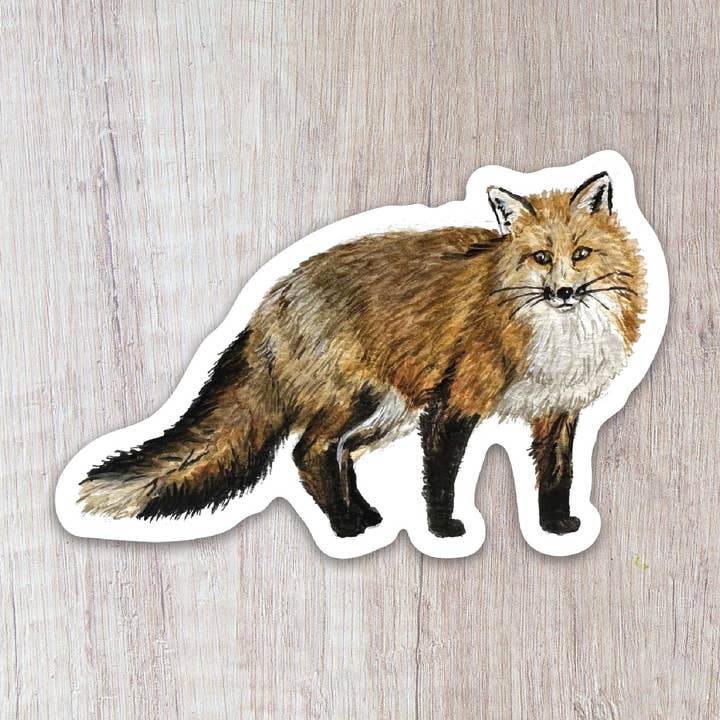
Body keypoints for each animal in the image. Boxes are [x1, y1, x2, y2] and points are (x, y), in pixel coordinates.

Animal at [77, 171, 646, 539]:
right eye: (542, 257)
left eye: (581, 254)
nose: (564, 293)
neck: (556, 333)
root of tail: (273, 295)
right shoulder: (453, 403)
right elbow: (441, 477)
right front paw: (443, 530)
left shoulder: (559, 408)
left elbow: (557, 475)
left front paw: (555, 526)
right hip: (358, 402)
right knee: (308, 453)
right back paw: (345, 526)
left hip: (387, 411)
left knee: (339, 454)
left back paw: (362, 516)